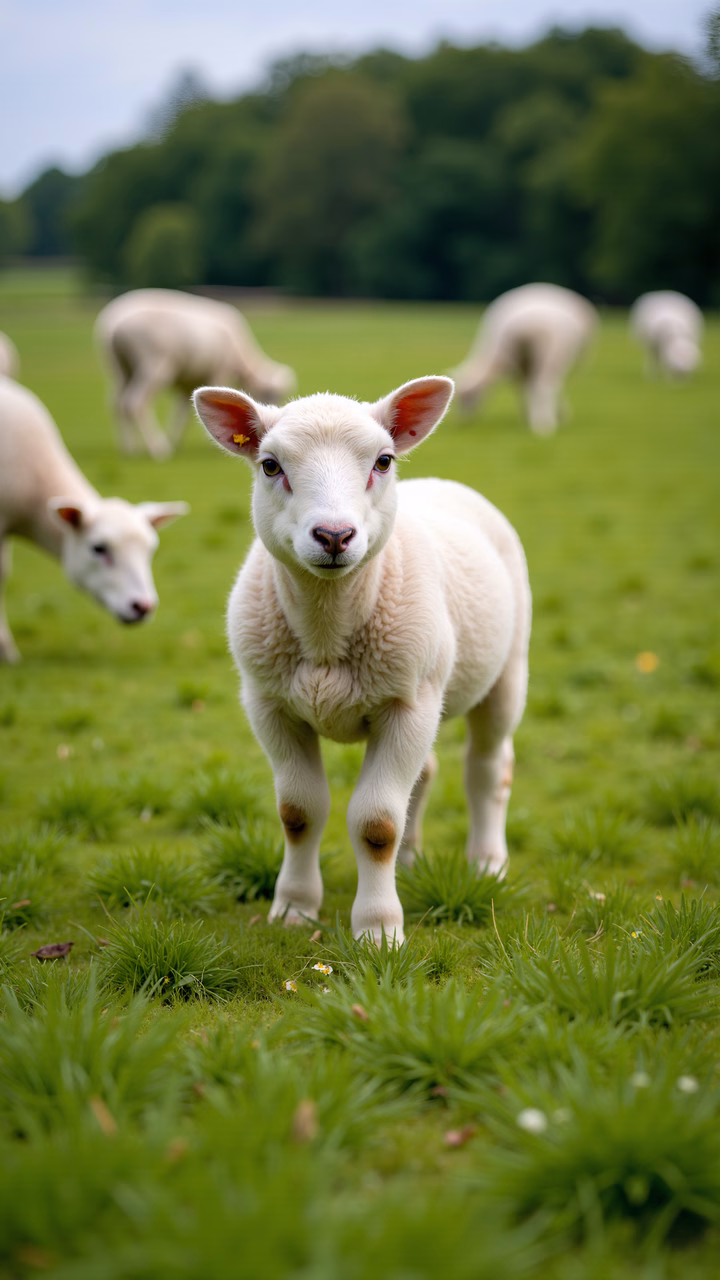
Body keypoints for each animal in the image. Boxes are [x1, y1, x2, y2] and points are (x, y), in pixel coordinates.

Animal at [95, 289, 297, 459]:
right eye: (270, 394)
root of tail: (118, 327)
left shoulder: (188, 383)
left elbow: (182, 413)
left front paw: (175, 439)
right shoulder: (219, 372)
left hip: (119, 368)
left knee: (117, 404)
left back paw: (128, 448)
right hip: (153, 364)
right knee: (135, 403)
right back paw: (158, 448)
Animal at [193, 376, 531, 944]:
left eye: (384, 460)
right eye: (270, 465)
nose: (334, 536)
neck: (326, 631)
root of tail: (442, 482)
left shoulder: (408, 706)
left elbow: (376, 824)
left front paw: (378, 931)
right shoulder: (270, 706)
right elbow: (299, 812)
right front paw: (294, 907)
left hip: (505, 672)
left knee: (488, 770)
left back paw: (488, 863)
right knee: (427, 772)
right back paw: (411, 864)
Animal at [452, 283, 597, 435]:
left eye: (470, 395)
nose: (463, 421)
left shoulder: (515, 364)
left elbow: (528, 388)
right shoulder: (518, 364)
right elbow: (525, 388)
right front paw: (528, 415)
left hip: (550, 351)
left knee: (543, 387)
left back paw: (544, 424)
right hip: (547, 354)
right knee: (541, 386)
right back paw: (541, 422)